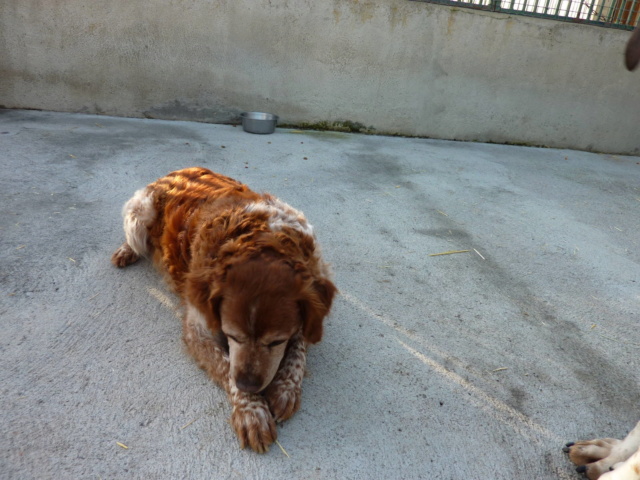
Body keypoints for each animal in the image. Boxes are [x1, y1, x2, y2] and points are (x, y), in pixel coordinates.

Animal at [112, 167, 338, 452]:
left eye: (276, 341)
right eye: (232, 336)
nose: (249, 385)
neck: (262, 238)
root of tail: (178, 170)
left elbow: (298, 350)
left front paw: (286, 389)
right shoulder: (197, 328)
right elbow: (226, 366)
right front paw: (252, 411)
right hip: (138, 214)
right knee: (134, 238)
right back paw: (126, 251)